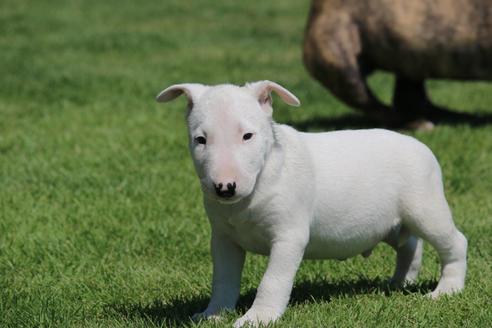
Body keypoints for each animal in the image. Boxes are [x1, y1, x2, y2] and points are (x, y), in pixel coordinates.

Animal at [156, 80, 468, 326]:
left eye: (247, 136)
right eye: (200, 139)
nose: (224, 188)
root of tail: (420, 145)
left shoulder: (289, 236)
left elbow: (273, 280)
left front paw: (258, 318)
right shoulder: (223, 238)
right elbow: (223, 278)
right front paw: (213, 314)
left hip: (425, 208)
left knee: (454, 242)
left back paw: (446, 290)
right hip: (388, 223)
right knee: (410, 245)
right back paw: (401, 281)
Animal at [304, 0, 492, 127]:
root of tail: (316, 8)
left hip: (411, 60)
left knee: (409, 93)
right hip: (338, 56)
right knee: (371, 102)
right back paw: (415, 123)